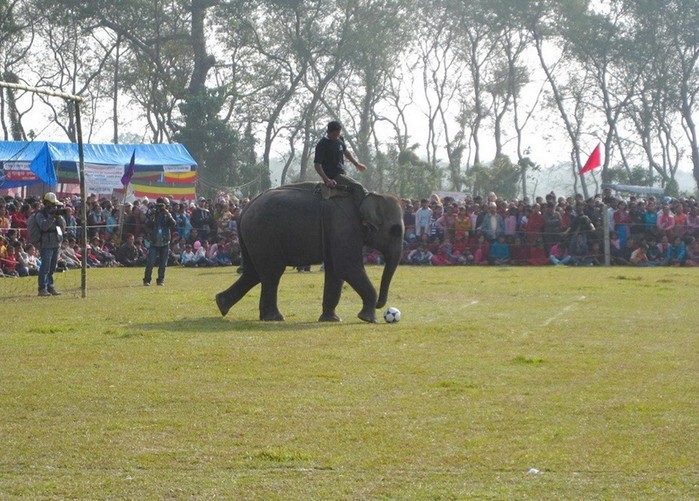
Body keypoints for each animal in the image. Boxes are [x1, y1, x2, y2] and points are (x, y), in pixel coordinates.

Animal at [216, 182, 408, 322]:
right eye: (396, 231)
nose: (383, 307)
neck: (366, 196)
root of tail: (245, 209)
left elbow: (335, 270)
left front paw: (332, 319)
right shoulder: (344, 226)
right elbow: (347, 267)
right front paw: (367, 319)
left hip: (252, 237)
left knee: (253, 272)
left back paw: (222, 304)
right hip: (263, 234)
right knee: (271, 273)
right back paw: (274, 318)